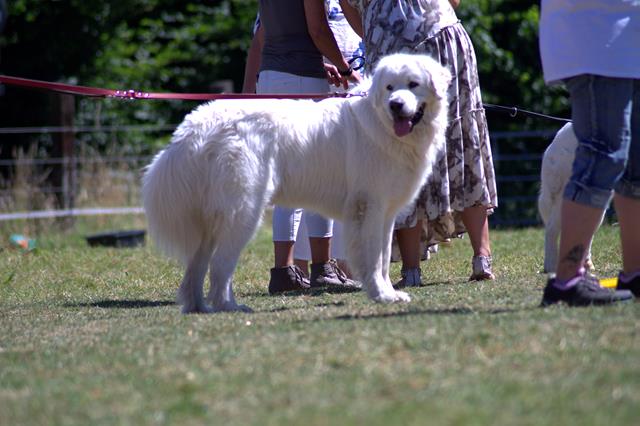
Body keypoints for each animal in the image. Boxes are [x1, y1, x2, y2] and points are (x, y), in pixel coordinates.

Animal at [142, 53, 450, 313]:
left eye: (413, 84)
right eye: (389, 87)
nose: (396, 105)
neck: (381, 124)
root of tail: (196, 126)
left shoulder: (385, 214)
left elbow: (384, 258)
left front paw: (388, 293)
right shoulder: (369, 208)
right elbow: (374, 259)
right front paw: (381, 295)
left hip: (215, 221)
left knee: (198, 265)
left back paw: (198, 307)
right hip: (244, 211)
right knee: (220, 266)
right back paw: (228, 306)